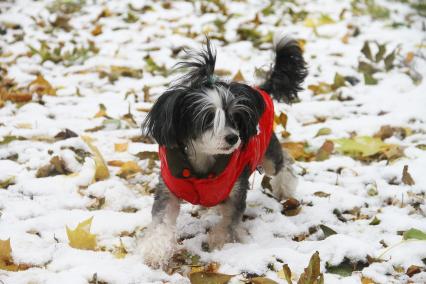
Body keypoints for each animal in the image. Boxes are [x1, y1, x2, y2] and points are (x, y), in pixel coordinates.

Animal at [139, 33, 306, 268]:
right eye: (207, 119)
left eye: (235, 117)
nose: (233, 138)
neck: (202, 163)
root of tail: (261, 89)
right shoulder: (168, 189)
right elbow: (162, 221)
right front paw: (154, 252)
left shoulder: (236, 188)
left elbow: (229, 220)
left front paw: (219, 242)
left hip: (268, 155)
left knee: (283, 163)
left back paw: (285, 188)